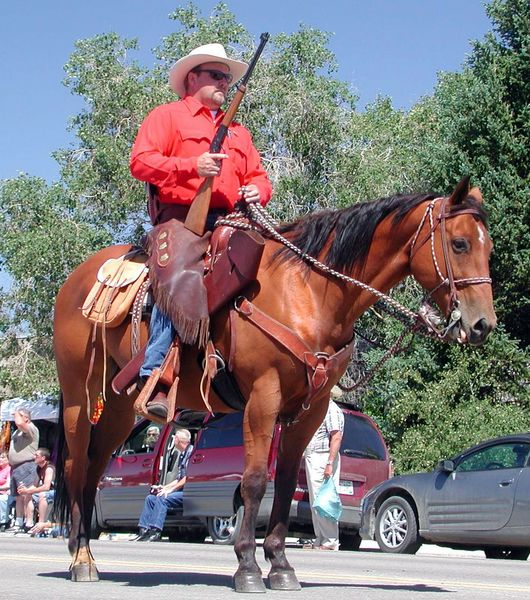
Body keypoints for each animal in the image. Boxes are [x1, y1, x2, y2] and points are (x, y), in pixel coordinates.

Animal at [51, 177, 492, 592]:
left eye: (487, 248)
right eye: (459, 243)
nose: (482, 325)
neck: (309, 293)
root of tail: (78, 278)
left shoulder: (310, 409)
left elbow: (284, 484)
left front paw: (280, 565)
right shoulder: (263, 398)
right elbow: (254, 481)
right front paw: (247, 566)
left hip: (121, 406)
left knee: (94, 468)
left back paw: (84, 551)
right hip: (77, 396)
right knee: (75, 466)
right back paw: (80, 560)